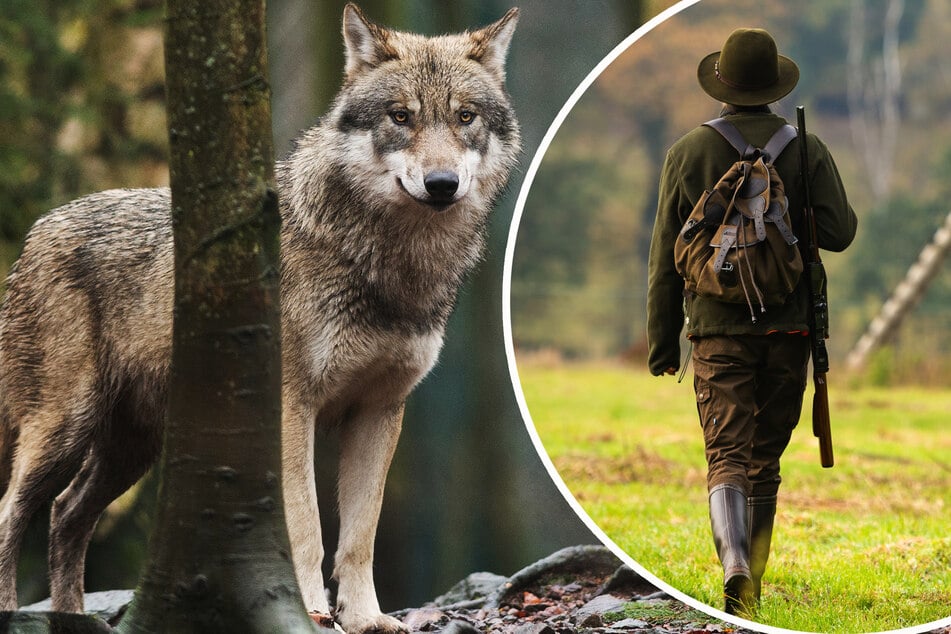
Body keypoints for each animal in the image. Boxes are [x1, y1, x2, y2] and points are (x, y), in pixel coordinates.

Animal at [0, 4, 520, 632]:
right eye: (401, 116)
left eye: (465, 117)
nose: (442, 184)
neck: (388, 265)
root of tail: (36, 230)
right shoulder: (292, 406)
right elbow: (306, 527)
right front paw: (312, 613)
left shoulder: (380, 409)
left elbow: (359, 538)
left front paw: (366, 618)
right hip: (65, 428)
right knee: (12, 512)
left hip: (131, 449)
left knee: (65, 512)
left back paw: (74, 618)